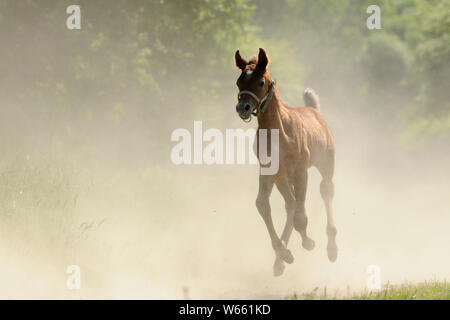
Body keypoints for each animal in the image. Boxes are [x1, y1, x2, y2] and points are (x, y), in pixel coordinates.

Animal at [236, 47, 338, 276]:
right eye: (238, 81)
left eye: (260, 82)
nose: (242, 107)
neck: (279, 131)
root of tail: (314, 110)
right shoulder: (268, 171)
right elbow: (262, 204)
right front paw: (284, 253)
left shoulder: (301, 171)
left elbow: (301, 217)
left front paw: (308, 243)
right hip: (282, 178)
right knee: (291, 204)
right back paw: (279, 262)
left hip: (325, 163)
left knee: (326, 190)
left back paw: (332, 248)